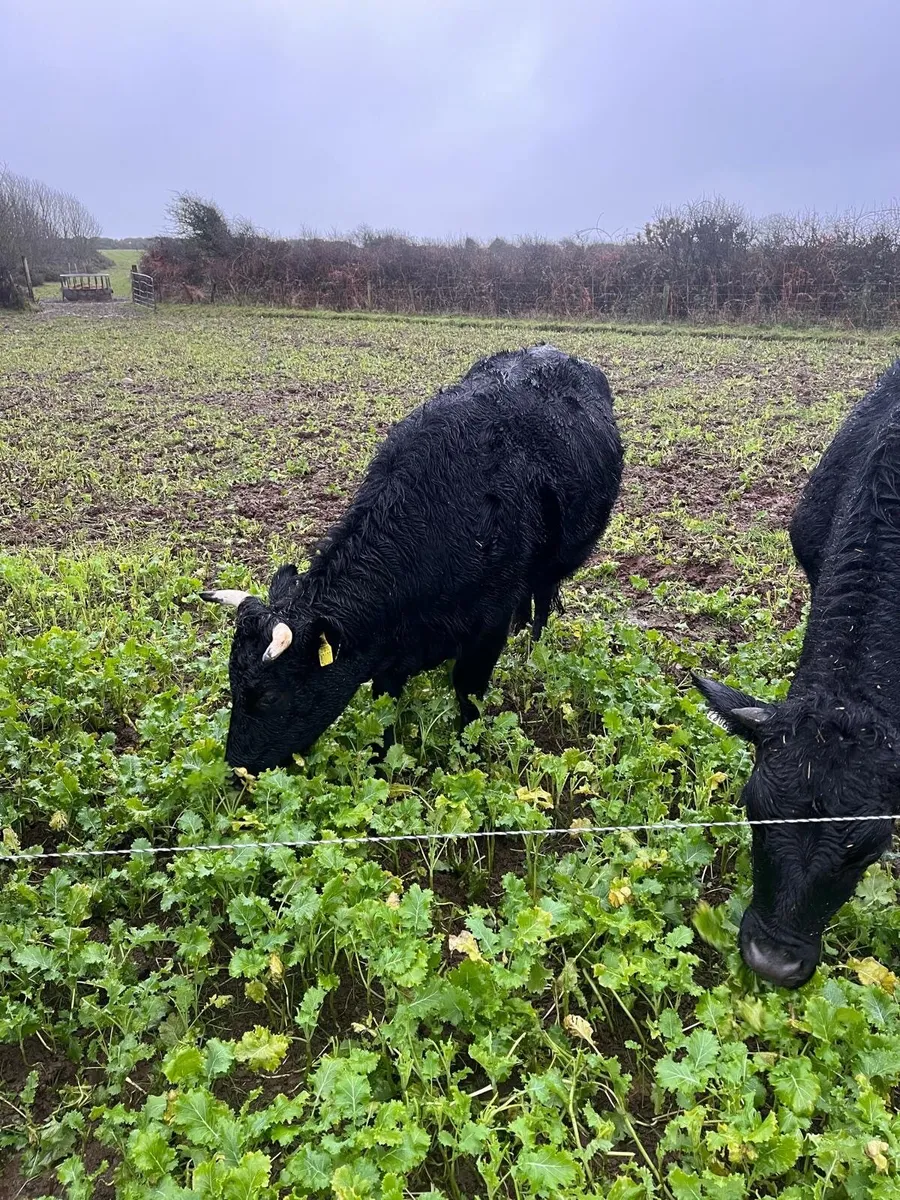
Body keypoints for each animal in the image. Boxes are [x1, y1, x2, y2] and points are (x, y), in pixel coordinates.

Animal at [202, 345, 623, 777]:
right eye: (232, 681)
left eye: (269, 695)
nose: (236, 769)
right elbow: (385, 704)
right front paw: (381, 761)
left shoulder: (487, 626)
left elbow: (468, 695)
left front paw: (466, 753)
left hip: (558, 563)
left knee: (541, 599)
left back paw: (531, 648)